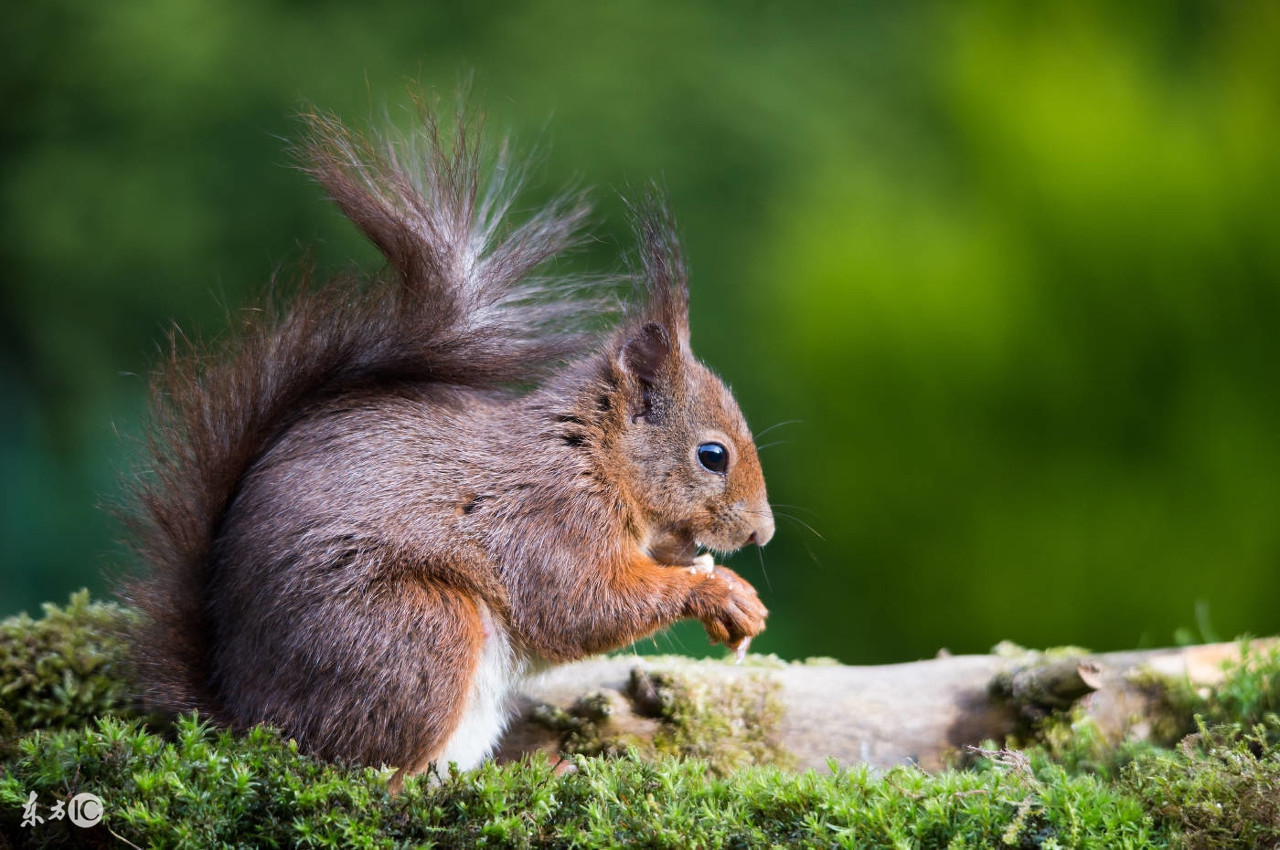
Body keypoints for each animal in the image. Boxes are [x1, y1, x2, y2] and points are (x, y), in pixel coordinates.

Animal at [124, 106, 773, 778]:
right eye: (713, 456)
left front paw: (734, 592)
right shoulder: (550, 521)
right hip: (419, 630)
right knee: (371, 772)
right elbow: (581, 607)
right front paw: (717, 593)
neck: (593, 456)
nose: (763, 533)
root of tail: (250, 718)